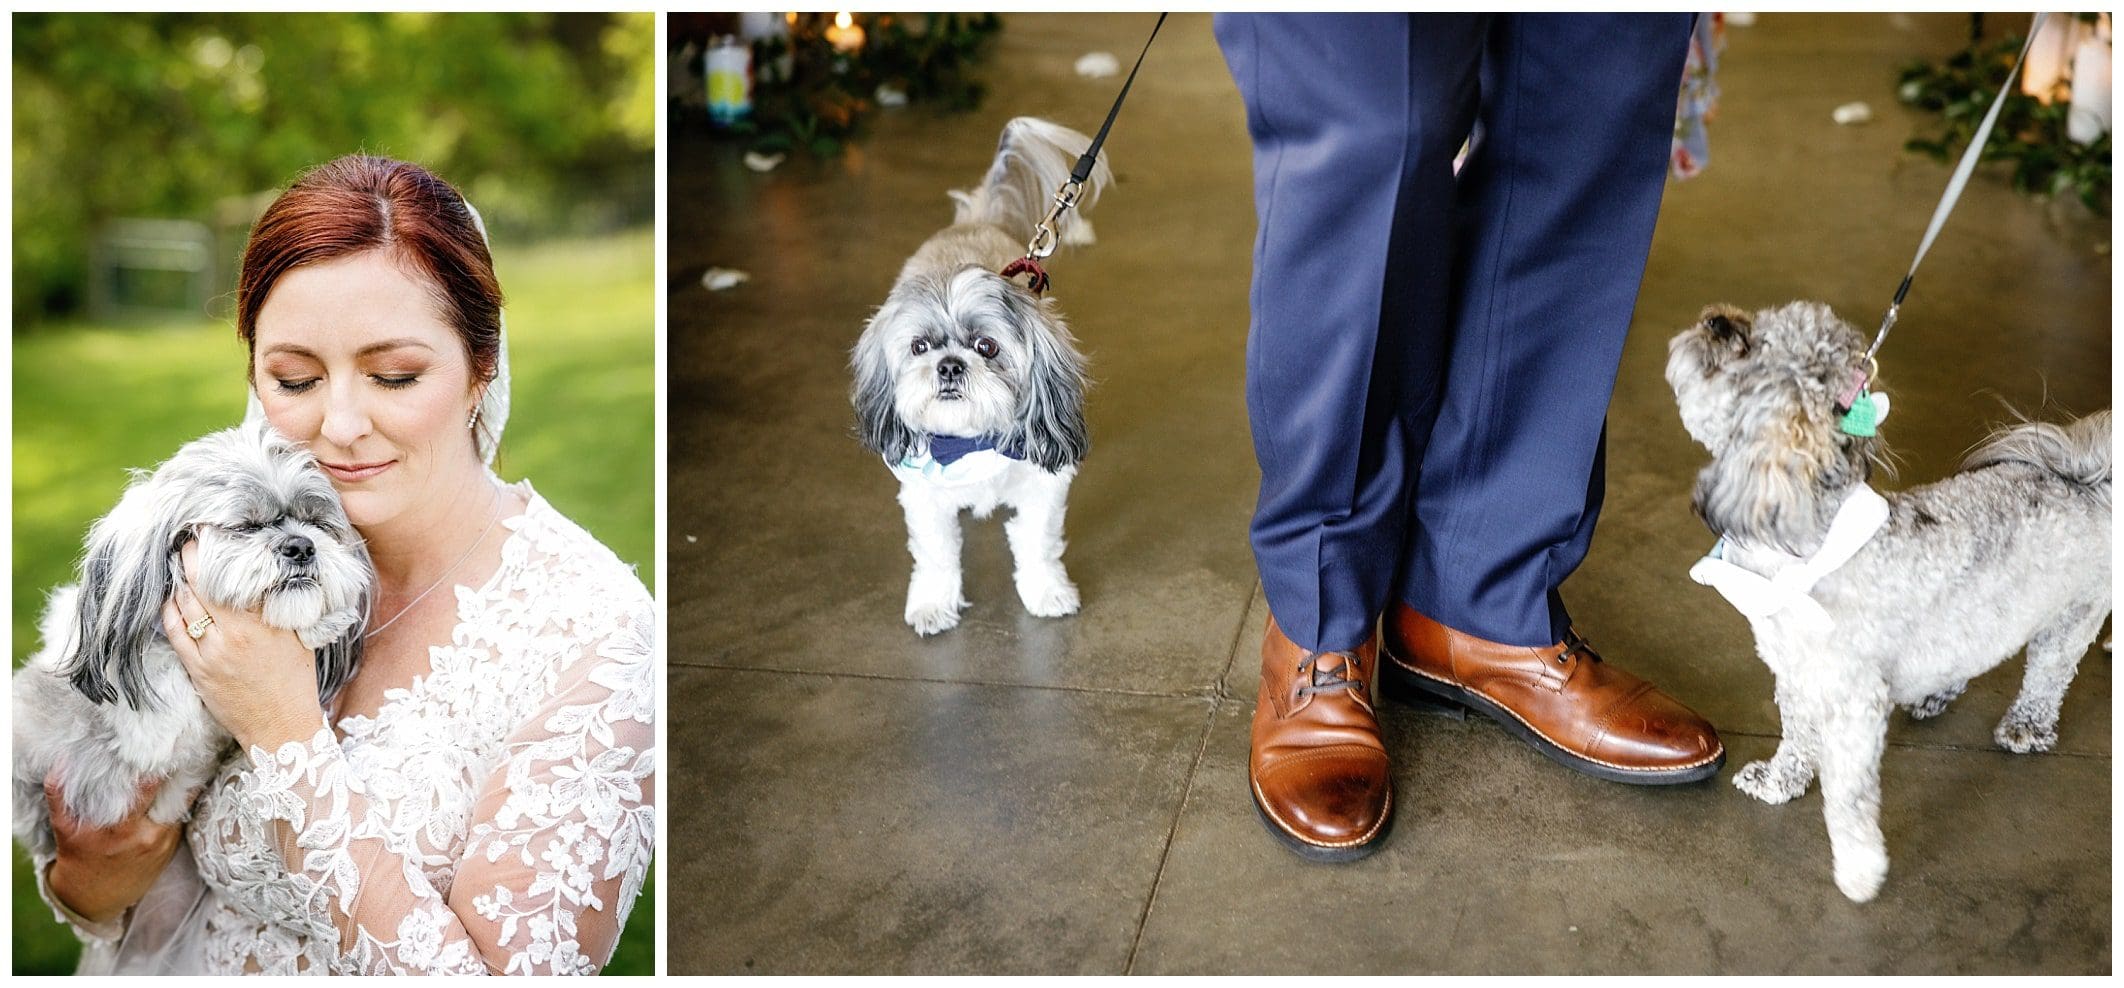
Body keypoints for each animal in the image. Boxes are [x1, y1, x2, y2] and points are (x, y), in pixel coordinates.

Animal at [849, 113, 1112, 633]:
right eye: (919, 346)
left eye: (986, 347)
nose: (950, 365)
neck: (971, 438)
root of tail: (978, 220)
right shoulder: (923, 497)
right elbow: (936, 555)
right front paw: (933, 603)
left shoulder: (1044, 487)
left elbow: (1038, 545)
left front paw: (1047, 592)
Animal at [1673, 299, 2107, 900]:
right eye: (1755, 323)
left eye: (1751, 348)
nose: (1717, 320)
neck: (1807, 551)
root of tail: (2085, 482)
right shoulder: (1798, 677)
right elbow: (1796, 738)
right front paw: (1779, 780)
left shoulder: (1854, 706)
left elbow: (1847, 799)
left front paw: (1859, 870)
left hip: (2071, 619)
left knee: (2048, 673)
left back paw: (2027, 726)